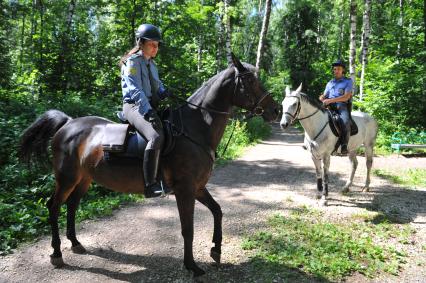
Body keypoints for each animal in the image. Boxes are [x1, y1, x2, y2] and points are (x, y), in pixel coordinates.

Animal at [19, 55, 280, 278]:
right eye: (250, 81)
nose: (275, 110)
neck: (194, 130)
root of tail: (68, 123)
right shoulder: (185, 190)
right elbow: (188, 229)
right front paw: (192, 266)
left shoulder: (197, 187)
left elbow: (217, 210)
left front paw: (216, 250)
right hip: (66, 178)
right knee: (54, 206)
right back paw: (57, 254)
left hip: (84, 179)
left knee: (72, 205)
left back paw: (75, 243)